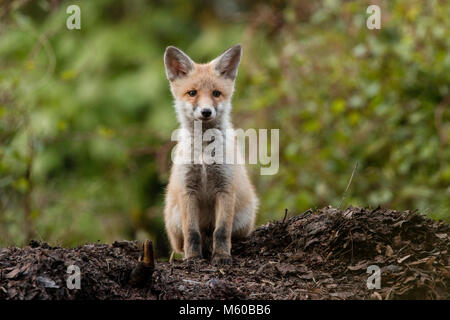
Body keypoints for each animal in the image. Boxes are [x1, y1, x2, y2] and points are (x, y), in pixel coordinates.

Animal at [163, 44, 258, 264]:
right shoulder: (187, 189)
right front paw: (193, 258)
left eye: (216, 93)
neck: (205, 155)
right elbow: (192, 233)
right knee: (183, 243)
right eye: (192, 93)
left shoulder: (225, 188)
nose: (206, 112)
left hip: (243, 219)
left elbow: (221, 231)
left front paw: (222, 256)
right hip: (174, 220)